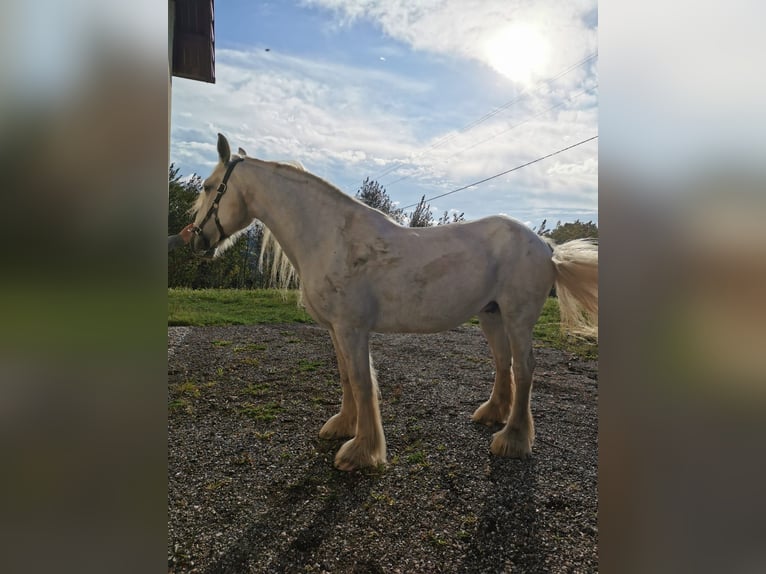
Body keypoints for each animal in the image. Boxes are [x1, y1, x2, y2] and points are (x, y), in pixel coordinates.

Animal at [190, 133, 598, 471]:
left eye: (210, 186)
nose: (193, 239)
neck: (330, 238)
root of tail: (546, 246)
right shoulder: (337, 330)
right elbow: (346, 377)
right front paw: (343, 426)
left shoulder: (352, 328)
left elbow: (362, 381)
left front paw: (361, 452)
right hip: (492, 316)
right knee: (504, 364)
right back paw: (491, 415)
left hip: (517, 318)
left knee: (525, 368)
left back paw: (512, 440)